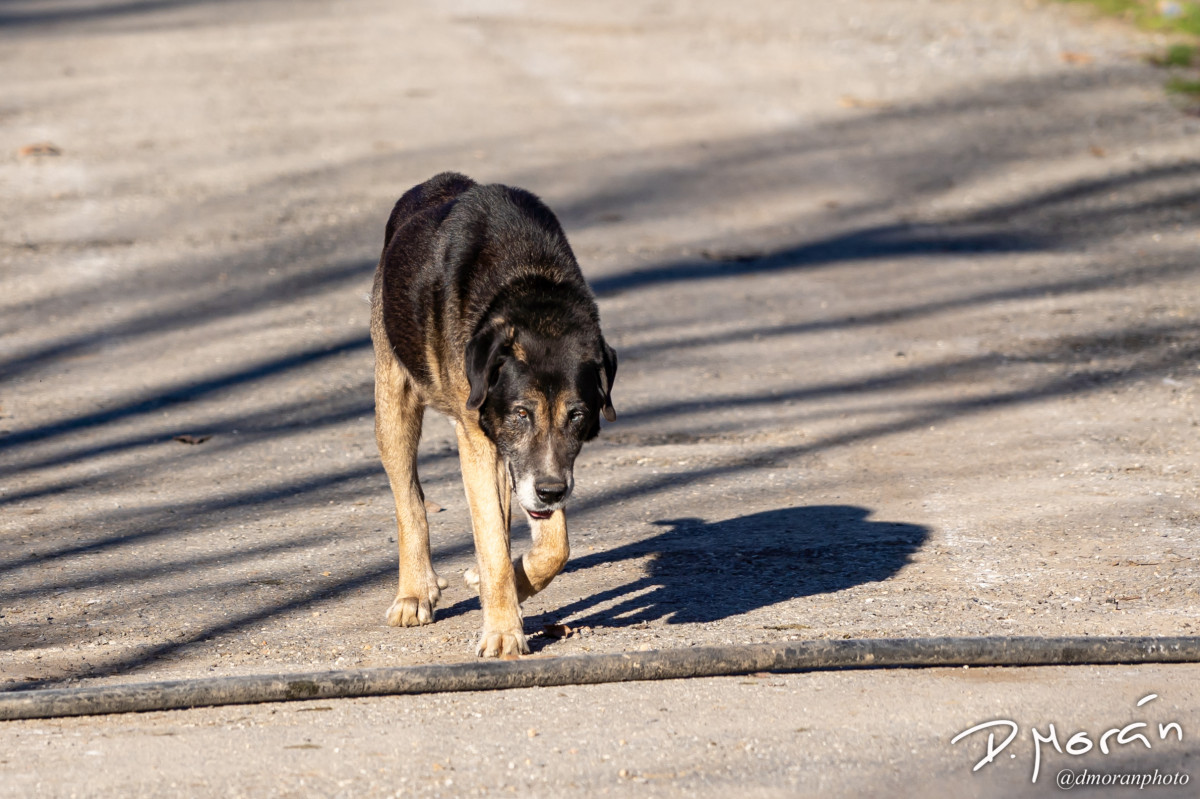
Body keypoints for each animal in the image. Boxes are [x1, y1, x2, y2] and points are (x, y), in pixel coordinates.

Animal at [369, 171, 619, 657]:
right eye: (521, 412)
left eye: (577, 415)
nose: (551, 492)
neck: (530, 287)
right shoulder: (481, 441)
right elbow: (492, 546)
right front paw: (503, 629)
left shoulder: (536, 468)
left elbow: (552, 547)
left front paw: (507, 590)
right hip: (394, 399)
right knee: (409, 500)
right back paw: (415, 592)